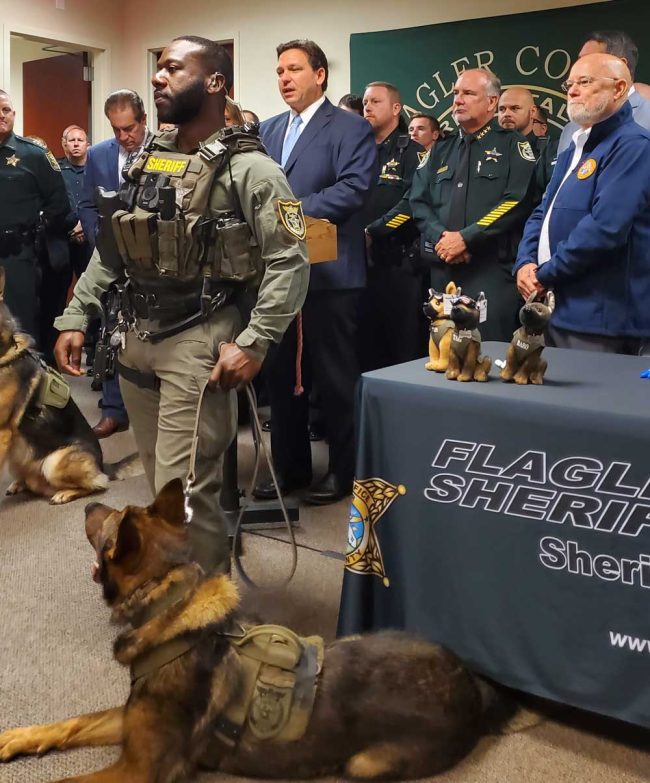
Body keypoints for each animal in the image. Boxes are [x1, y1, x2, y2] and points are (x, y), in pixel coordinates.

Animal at [0, 480, 488, 780]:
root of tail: (472, 687)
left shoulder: (139, 770)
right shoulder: (128, 722)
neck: (165, 603)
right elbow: (73, 721)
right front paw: (17, 737)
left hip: (365, 763)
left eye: (108, 520)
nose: (86, 502)